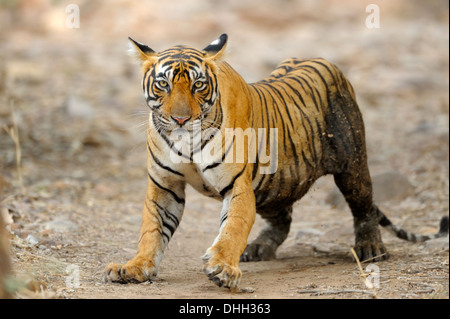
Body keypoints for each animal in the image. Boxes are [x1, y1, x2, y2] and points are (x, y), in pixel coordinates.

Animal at [103, 33, 450, 288]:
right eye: (163, 84)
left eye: (198, 85)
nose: (180, 119)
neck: (184, 140)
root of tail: (322, 59)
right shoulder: (165, 185)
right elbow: (152, 230)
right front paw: (134, 268)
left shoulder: (237, 185)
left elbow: (232, 228)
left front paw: (222, 267)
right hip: (274, 184)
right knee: (283, 219)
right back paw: (259, 248)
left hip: (351, 164)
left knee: (363, 206)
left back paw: (370, 249)